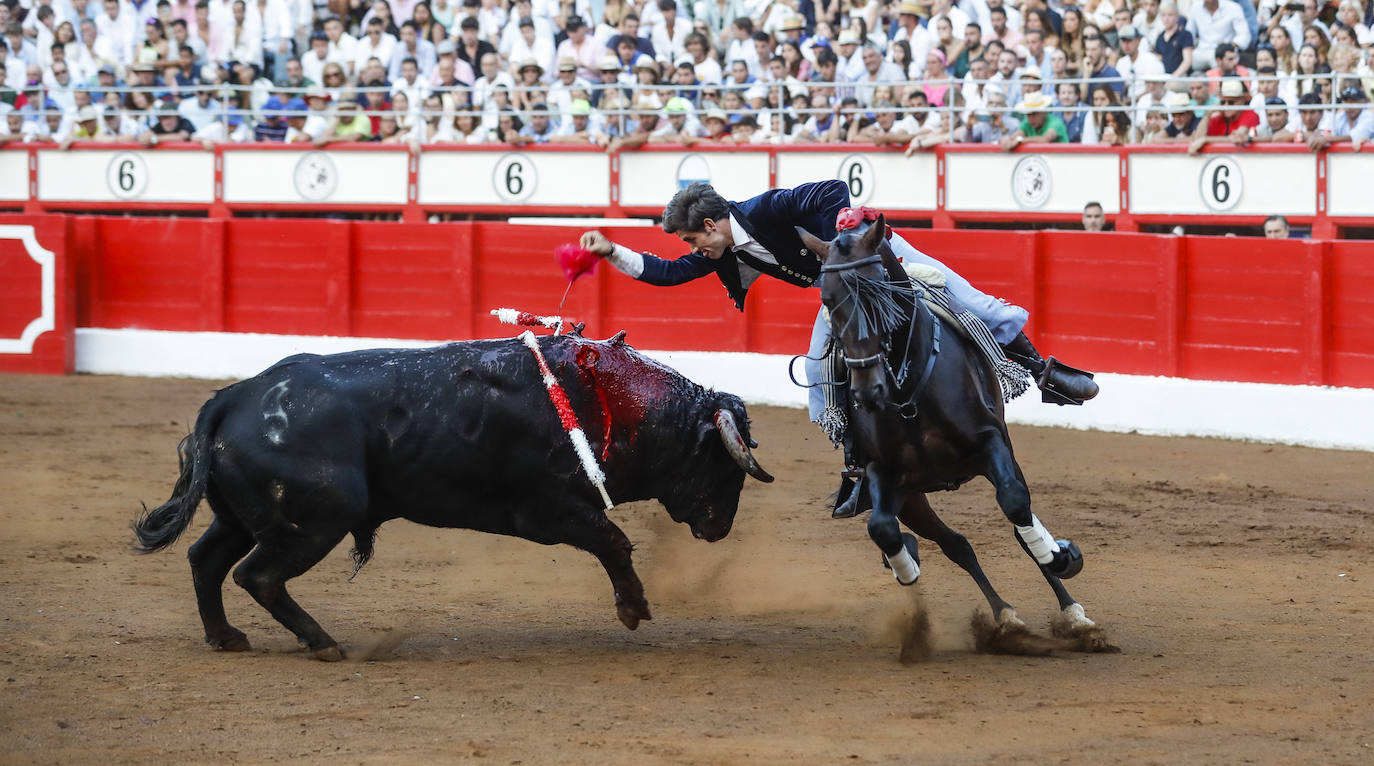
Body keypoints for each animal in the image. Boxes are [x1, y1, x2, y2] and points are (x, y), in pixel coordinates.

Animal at [133, 330, 774, 657]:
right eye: (726, 465)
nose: (719, 526)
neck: (610, 400)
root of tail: (234, 396)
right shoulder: (548, 512)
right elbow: (614, 542)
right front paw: (634, 609)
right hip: (314, 522)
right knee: (257, 575)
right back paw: (323, 643)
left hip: (242, 517)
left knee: (206, 559)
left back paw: (226, 638)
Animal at [802, 215, 1104, 638]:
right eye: (828, 301)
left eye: (880, 294)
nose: (866, 390)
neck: (908, 391)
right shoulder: (880, 470)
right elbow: (882, 528)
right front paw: (905, 565)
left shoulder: (992, 444)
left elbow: (1015, 505)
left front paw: (1060, 557)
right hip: (912, 496)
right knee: (954, 543)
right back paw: (1002, 614)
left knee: (1017, 521)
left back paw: (1070, 608)